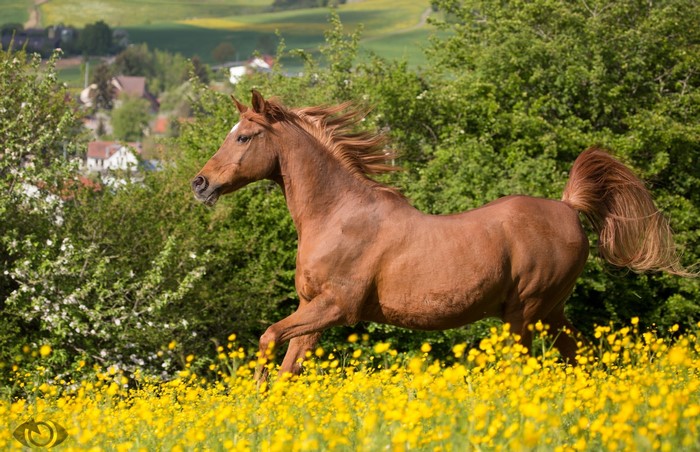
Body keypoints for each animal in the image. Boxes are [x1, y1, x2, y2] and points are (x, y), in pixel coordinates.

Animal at [192, 90, 691, 381]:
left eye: (243, 137)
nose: (200, 183)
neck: (338, 215)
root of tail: (569, 208)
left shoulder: (337, 307)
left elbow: (268, 339)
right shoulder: (311, 308)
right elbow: (288, 366)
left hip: (525, 311)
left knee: (529, 364)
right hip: (550, 311)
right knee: (580, 356)